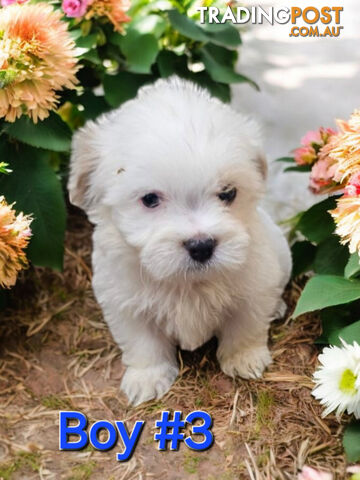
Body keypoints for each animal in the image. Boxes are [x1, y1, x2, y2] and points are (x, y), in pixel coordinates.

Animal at [68, 76, 292, 404]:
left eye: (228, 193)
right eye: (150, 199)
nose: (201, 246)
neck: (188, 283)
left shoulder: (253, 285)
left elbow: (245, 324)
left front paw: (244, 358)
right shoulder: (124, 301)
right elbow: (143, 342)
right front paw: (147, 377)